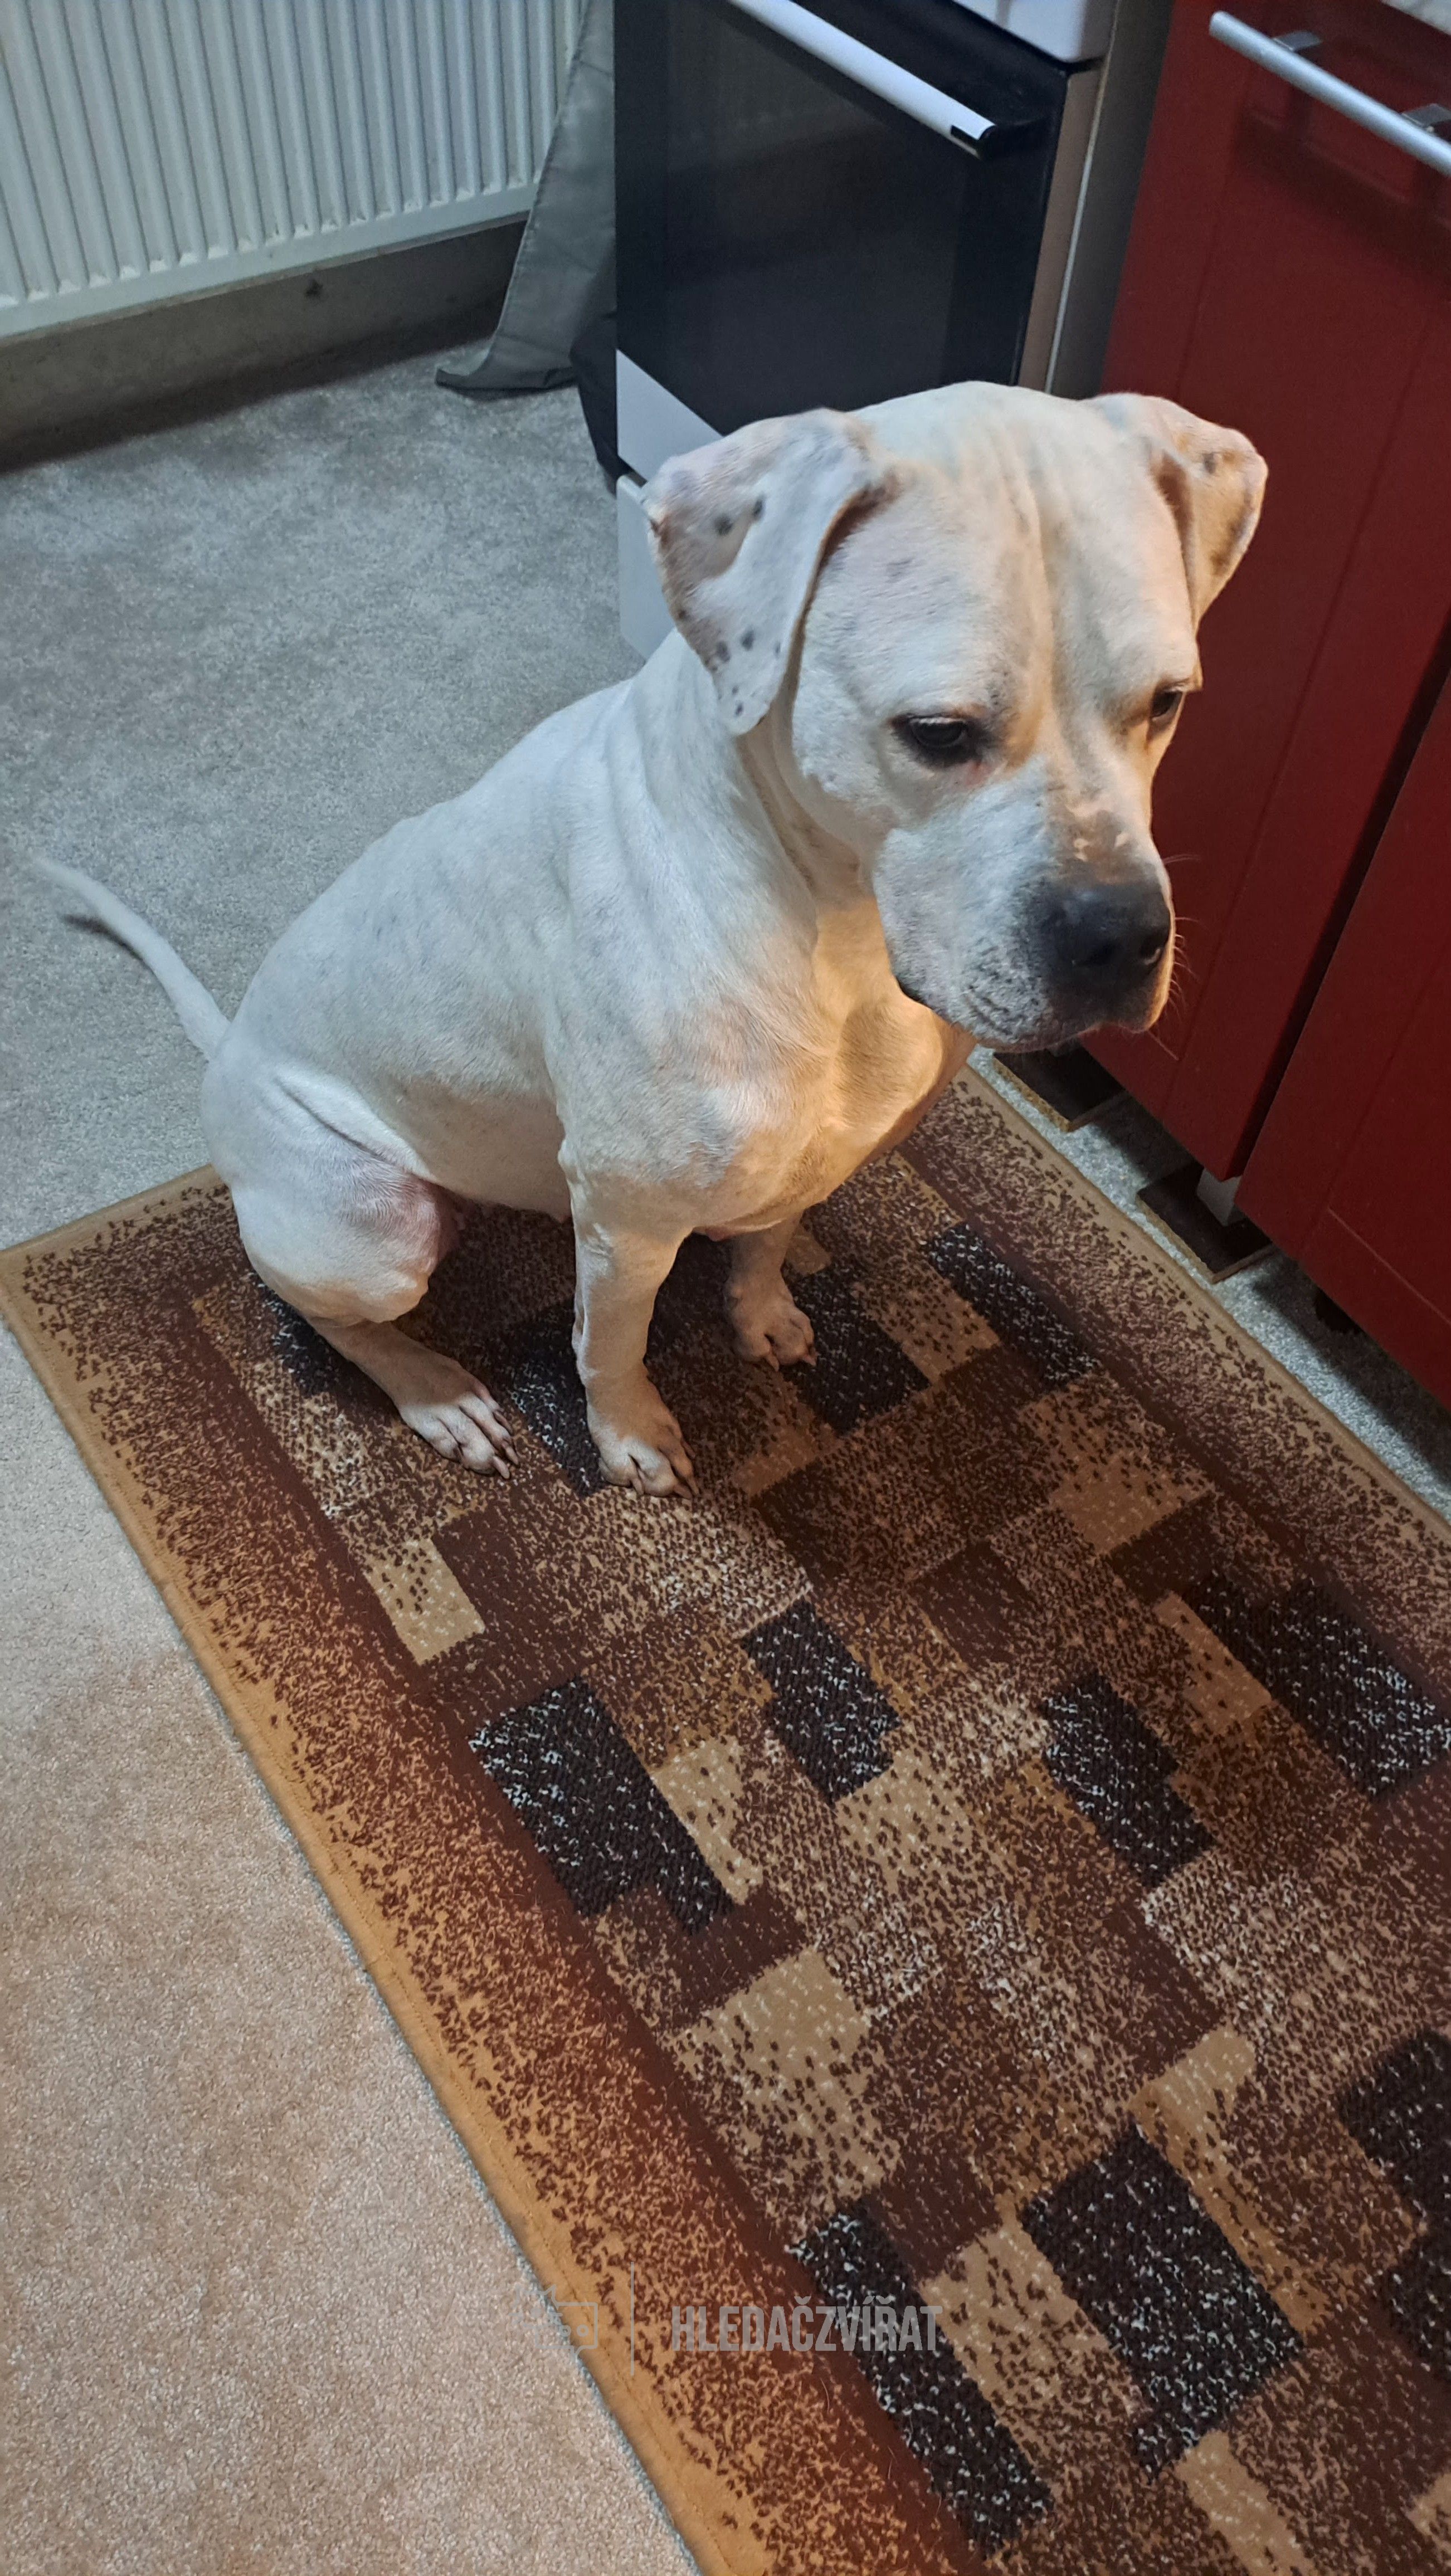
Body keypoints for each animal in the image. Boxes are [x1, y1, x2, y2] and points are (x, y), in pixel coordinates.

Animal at [45, 380, 1264, 1496]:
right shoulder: (626, 1223)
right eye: (936, 732)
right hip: (366, 1226)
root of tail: (231, 1049)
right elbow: (611, 1340)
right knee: (337, 1320)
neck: (834, 934)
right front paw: (630, 1436)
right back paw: (437, 1392)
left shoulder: (809, 1156)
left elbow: (767, 1239)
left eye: (1168, 701)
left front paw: (760, 1310)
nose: (1119, 940)